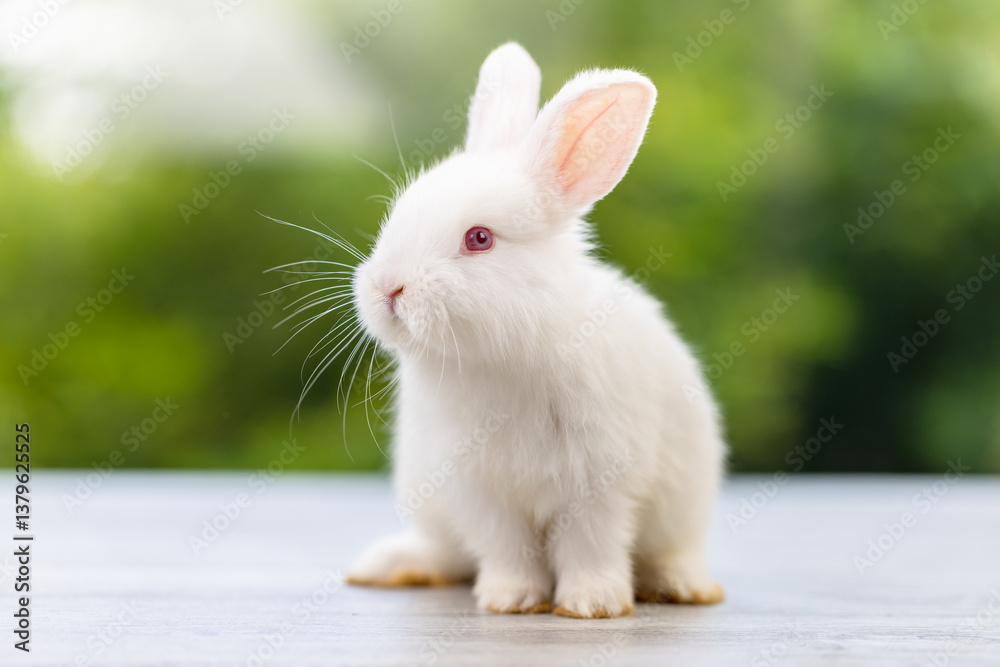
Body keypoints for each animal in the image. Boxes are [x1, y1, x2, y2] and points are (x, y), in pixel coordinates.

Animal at [345, 42, 725, 619]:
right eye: (397, 216)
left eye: (479, 238)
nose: (388, 289)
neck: (499, 357)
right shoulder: (477, 490)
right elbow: (506, 548)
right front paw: (510, 599)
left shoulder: (599, 483)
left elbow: (590, 545)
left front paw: (591, 605)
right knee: (446, 553)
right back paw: (388, 565)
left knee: (672, 552)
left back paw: (686, 587)